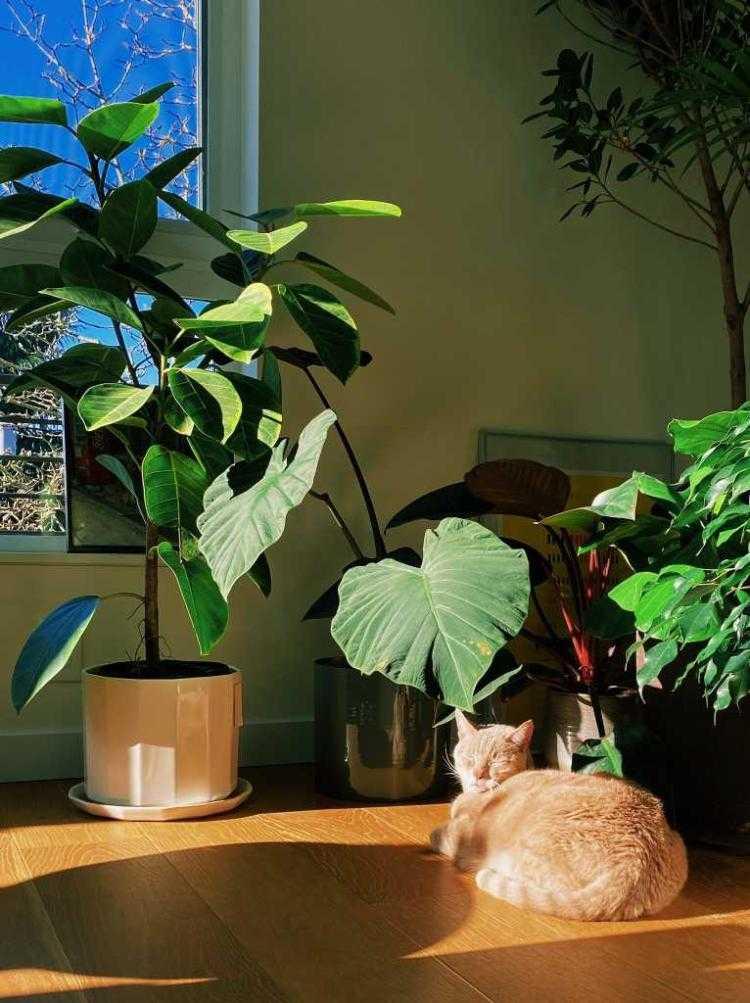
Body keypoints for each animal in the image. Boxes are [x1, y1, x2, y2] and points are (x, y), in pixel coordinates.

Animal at [429, 712, 688, 922]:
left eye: (496, 760)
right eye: (470, 757)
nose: (478, 775)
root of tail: (635, 863)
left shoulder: (462, 834)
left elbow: (438, 834)